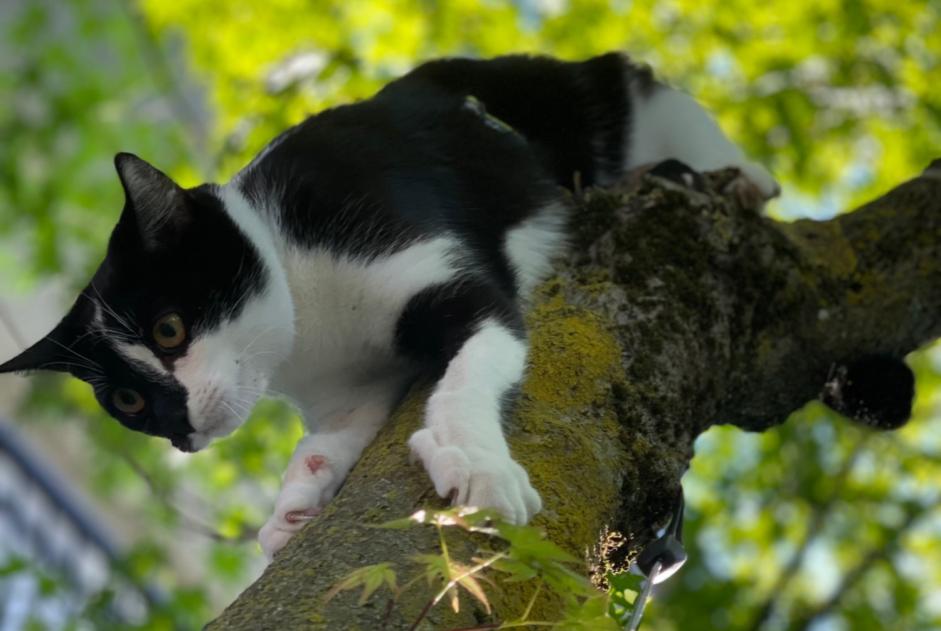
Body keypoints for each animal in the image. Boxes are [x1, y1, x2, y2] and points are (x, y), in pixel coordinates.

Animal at [0, 54, 780, 556]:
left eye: (169, 328)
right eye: (128, 402)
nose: (180, 428)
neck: (304, 302)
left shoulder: (440, 267)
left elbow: (472, 361)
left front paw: (476, 462)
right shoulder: (351, 378)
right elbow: (337, 431)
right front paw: (297, 502)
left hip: (584, 98)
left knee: (644, 98)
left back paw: (743, 176)